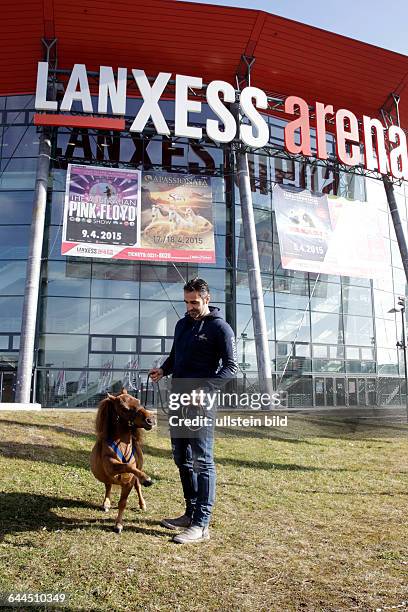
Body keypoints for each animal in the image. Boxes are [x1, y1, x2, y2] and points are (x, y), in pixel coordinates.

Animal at [90, 390, 155, 532]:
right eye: (125, 409)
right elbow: (126, 466)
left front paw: (118, 524)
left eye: (138, 401)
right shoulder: (111, 467)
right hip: (107, 477)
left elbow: (123, 502)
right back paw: (106, 503)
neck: (121, 445)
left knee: (137, 487)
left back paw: (142, 504)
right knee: (108, 486)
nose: (151, 420)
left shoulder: (129, 482)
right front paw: (146, 478)